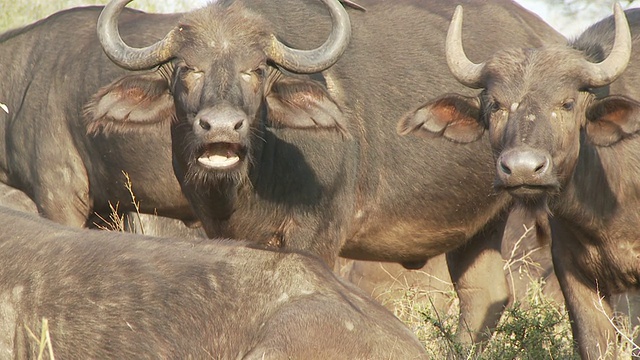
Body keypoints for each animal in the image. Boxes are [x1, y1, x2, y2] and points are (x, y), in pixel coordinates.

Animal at [89, 0, 564, 344]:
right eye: (188, 68)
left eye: (256, 69)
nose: (222, 126)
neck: (256, 183)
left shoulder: (318, 235)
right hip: (481, 227)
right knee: (484, 296)